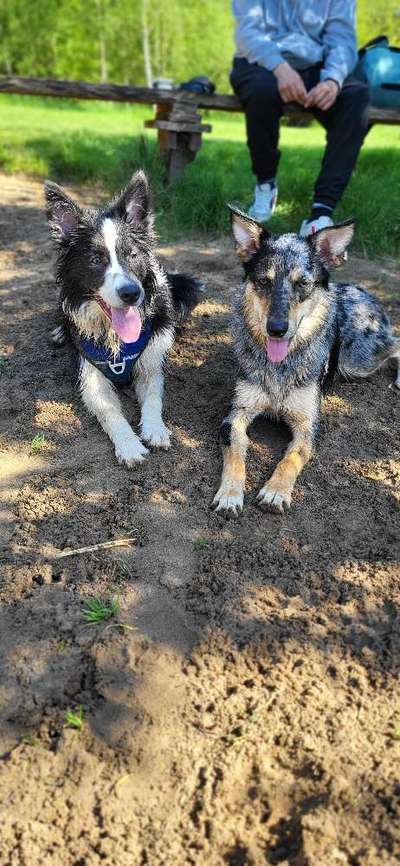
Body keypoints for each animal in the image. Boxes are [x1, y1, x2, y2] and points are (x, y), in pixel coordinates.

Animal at [45, 170, 202, 466]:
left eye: (132, 254)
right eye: (95, 259)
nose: (131, 293)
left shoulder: (151, 361)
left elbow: (153, 397)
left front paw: (155, 429)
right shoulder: (90, 374)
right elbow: (110, 411)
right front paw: (129, 445)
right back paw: (60, 332)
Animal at [214, 208, 398, 512]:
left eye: (303, 284)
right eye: (263, 281)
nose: (276, 329)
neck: (280, 369)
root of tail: (361, 290)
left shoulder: (308, 426)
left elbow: (292, 457)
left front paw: (275, 491)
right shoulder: (235, 415)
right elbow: (236, 455)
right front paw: (230, 494)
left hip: (360, 359)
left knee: (396, 343)